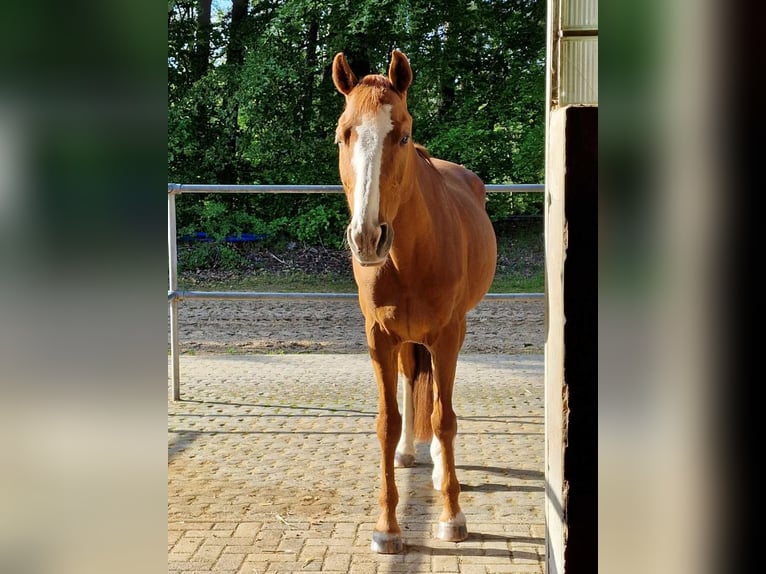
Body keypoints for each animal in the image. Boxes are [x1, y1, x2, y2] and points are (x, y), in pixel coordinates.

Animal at [332, 51, 498, 556]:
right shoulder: (379, 337)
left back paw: (443, 468)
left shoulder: (446, 335)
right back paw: (410, 452)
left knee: (443, 407)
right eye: (344, 133)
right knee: (411, 381)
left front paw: (452, 517)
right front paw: (388, 527)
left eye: (402, 135)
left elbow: (444, 419)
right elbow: (387, 422)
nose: (368, 237)